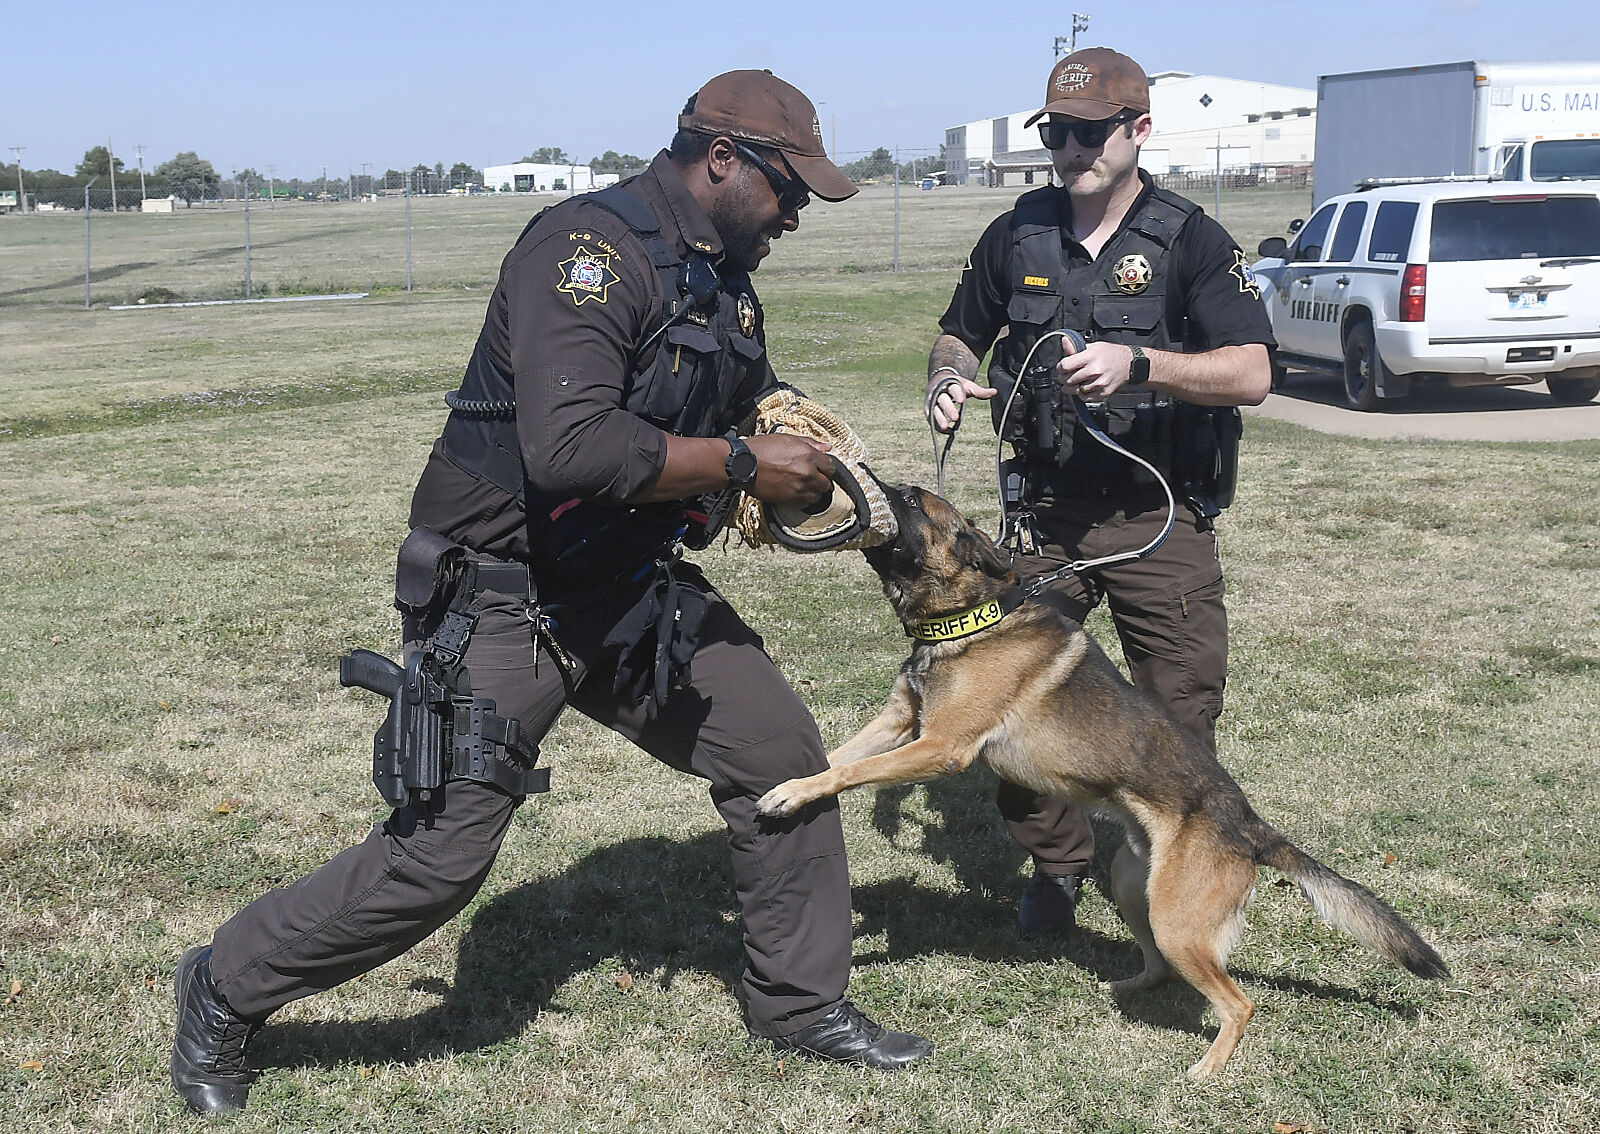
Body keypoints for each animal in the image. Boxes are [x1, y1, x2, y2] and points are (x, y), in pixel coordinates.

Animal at [758, 479, 1452, 1081]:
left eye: (907, 500)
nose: (865, 480)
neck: (971, 617)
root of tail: (1250, 826)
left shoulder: (940, 747)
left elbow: (853, 770)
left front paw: (790, 795)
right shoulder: (901, 722)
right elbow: (837, 760)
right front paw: (786, 786)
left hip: (1177, 920)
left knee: (1240, 1002)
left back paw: (1208, 1069)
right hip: (1132, 886)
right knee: (1163, 968)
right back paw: (1125, 986)